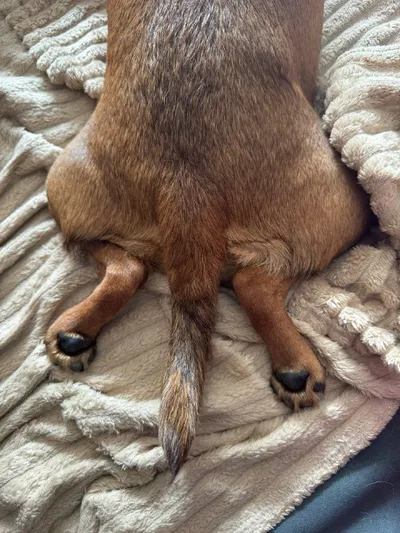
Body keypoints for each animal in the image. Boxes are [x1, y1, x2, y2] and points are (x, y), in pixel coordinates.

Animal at [45, 0, 371, 476]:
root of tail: (186, 182)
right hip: (345, 203)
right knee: (254, 284)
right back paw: (294, 367)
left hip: (64, 178)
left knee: (127, 266)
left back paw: (75, 332)